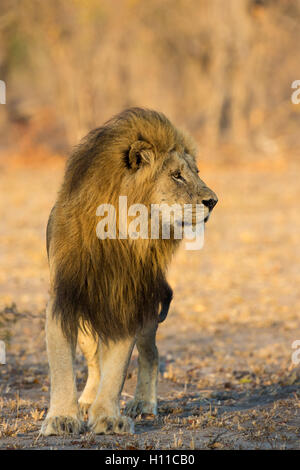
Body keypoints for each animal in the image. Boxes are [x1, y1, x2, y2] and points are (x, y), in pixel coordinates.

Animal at [40, 108, 218, 436]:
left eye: (196, 172)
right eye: (176, 175)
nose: (213, 201)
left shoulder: (127, 298)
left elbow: (118, 368)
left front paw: (108, 418)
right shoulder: (64, 299)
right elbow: (62, 366)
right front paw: (62, 418)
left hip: (147, 308)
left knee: (150, 353)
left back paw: (143, 403)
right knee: (94, 358)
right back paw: (87, 399)